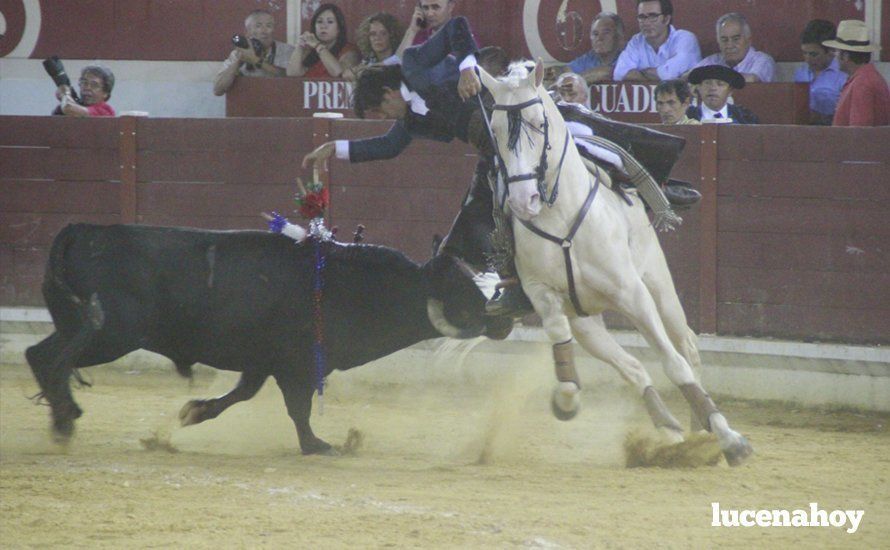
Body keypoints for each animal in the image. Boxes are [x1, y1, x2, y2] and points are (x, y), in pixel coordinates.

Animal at [27, 222, 500, 454]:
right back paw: (65, 422)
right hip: (110, 334)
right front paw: (318, 446)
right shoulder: (297, 366)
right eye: (461, 290)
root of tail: (83, 231)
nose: (500, 319)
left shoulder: (262, 363)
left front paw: (193, 412)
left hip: (83, 328)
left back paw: (63, 418)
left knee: (42, 356)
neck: (343, 284)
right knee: (48, 359)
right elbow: (299, 409)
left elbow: (241, 394)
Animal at [478, 60, 748, 466]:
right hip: (588, 321)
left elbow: (673, 363)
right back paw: (670, 430)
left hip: (657, 283)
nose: (523, 201)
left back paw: (703, 429)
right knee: (632, 368)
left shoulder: (632, 294)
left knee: (685, 347)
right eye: (493, 129)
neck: (560, 217)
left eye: (539, 123)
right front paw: (565, 402)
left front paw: (732, 441)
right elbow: (561, 347)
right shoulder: (543, 296)